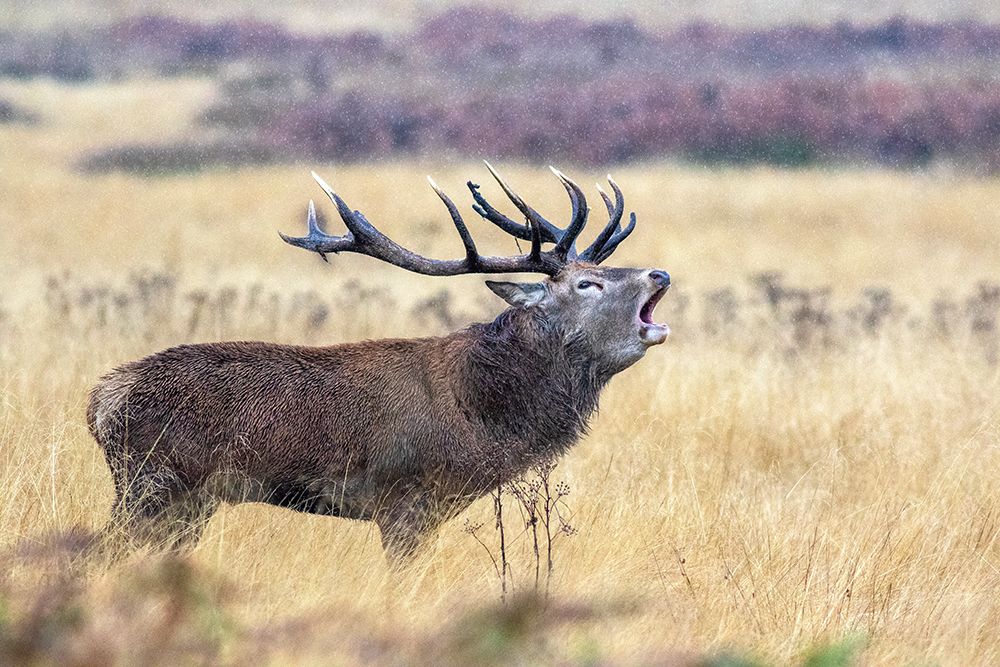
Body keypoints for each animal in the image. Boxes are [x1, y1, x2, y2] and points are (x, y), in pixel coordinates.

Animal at [88, 163, 672, 564]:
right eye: (588, 284)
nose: (660, 273)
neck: (484, 417)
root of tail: (100, 402)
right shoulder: (404, 500)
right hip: (156, 484)